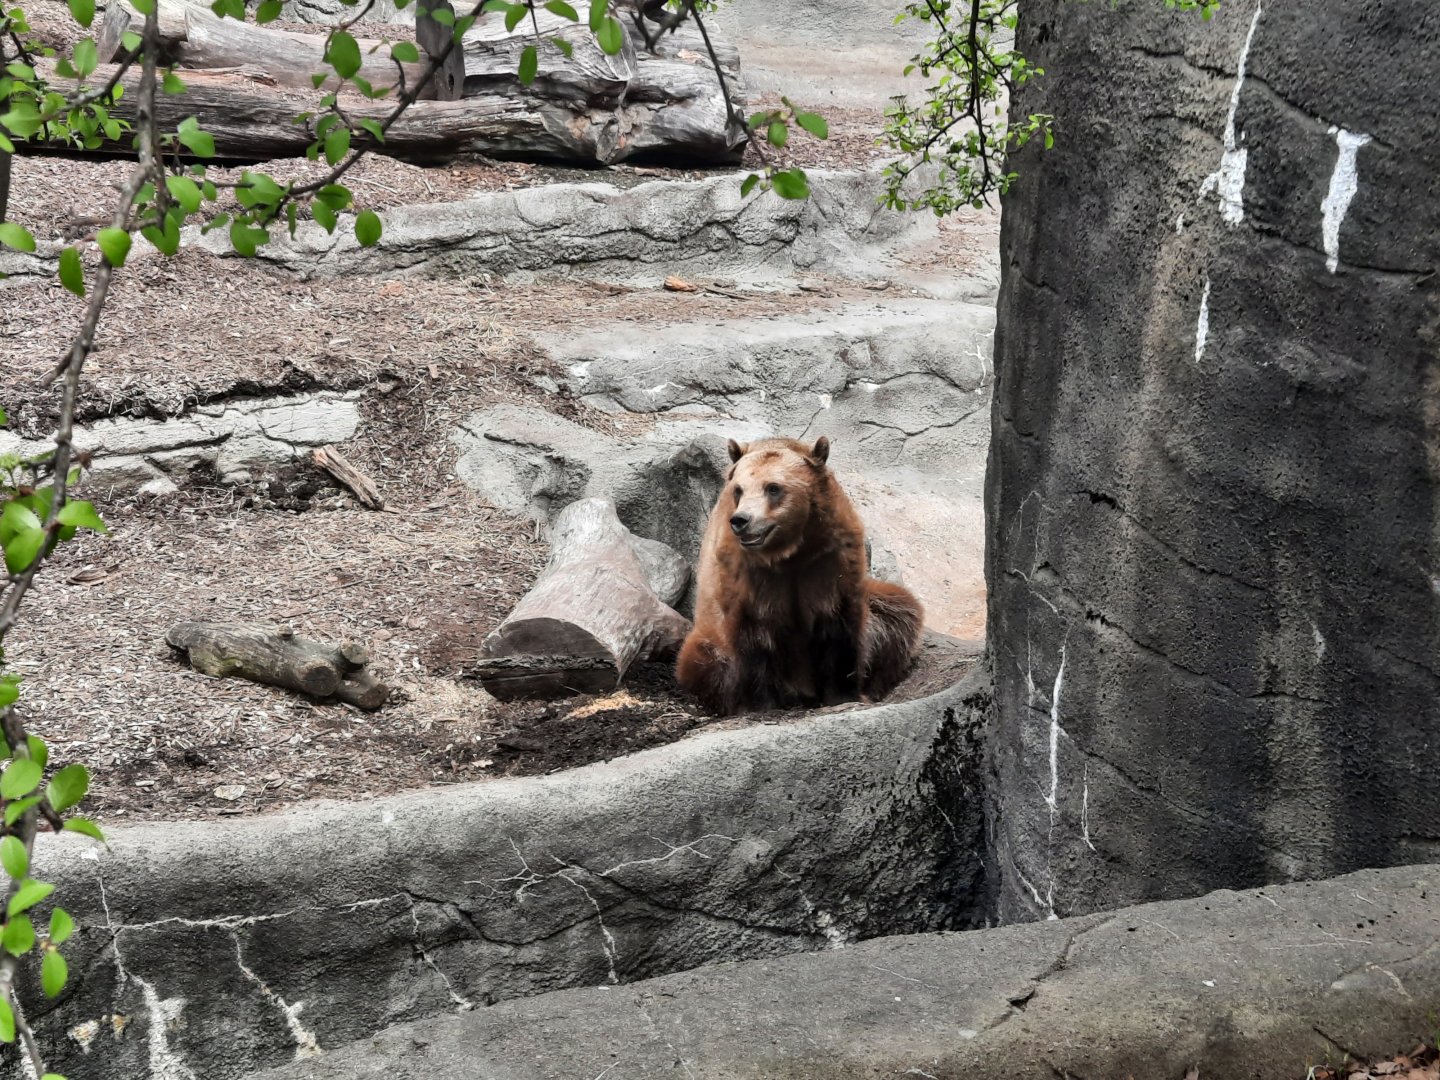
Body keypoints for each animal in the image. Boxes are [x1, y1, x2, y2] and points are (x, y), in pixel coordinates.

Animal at [675, 435, 924, 716]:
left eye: (773, 488)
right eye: (738, 489)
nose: (742, 520)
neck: (789, 551)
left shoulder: (830, 559)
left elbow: (838, 627)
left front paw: (844, 694)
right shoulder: (745, 574)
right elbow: (755, 635)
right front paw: (761, 703)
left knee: (901, 612)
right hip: (706, 639)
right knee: (703, 661)